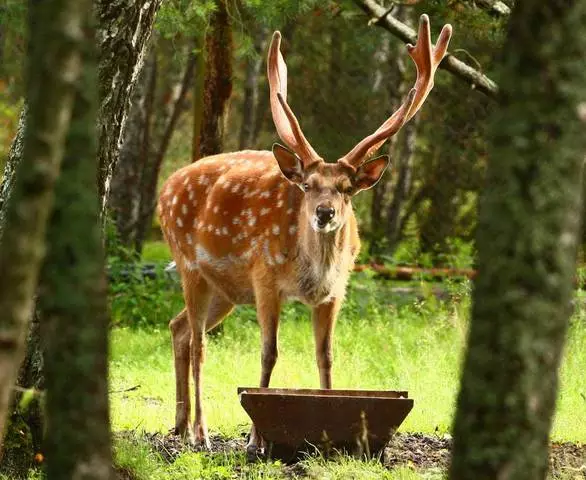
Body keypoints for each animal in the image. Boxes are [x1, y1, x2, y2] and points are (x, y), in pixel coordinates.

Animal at [157, 15, 450, 458]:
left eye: (346, 189)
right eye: (308, 185)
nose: (324, 213)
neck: (311, 272)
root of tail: (164, 189)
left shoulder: (336, 291)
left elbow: (325, 356)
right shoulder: (264, 277)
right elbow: (269, 353)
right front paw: (255, 439)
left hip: (225, 291)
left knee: (179, 329)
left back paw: (178, 423)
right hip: (190, 265)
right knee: (199, 345)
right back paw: (200, 433)